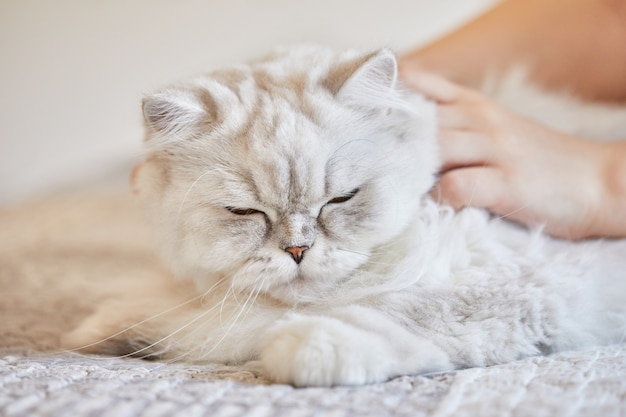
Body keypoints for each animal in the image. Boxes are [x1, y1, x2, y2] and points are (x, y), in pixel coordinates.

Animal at [63, 46, 624, 386]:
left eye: (340, 199)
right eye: (245, 212)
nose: (298, 250)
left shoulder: (526, 272)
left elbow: (404, 311)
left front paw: (303, 346)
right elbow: (170, 317)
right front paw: (98, 332)